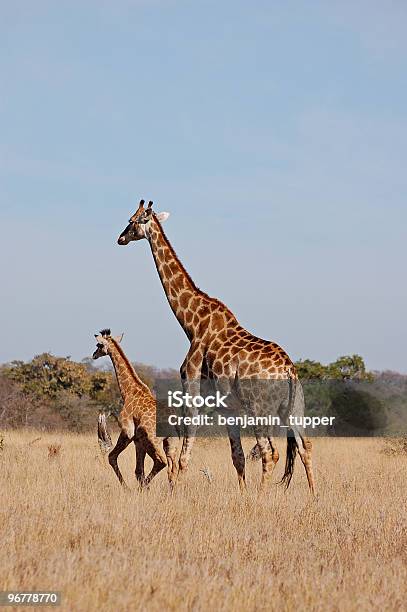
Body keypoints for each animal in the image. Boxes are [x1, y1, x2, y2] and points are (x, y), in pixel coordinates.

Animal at [95, 328, 181, 490]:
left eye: (98, 345)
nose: (94, 355)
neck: (129, 391)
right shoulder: (137, 440)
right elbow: (138, 470)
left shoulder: (127, 431)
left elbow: (112, 457)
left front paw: (127, 488)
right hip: (171, 442)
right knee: (172, 469)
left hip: (152, 441)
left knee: (161, 462)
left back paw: (143, 488)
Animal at [117, 201, 316, 492]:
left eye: (132, 221)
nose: (120, 238)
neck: (192, 323)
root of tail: (289, 371)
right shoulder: (228, 408)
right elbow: (238, 456)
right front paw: (242, 494)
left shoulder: (191, 389)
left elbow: (184, 453)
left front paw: (173, 491)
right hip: (293, 408)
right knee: (304, 446)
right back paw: (314, 496)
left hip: (260, 409)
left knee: (271, 452)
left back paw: (262, 495)